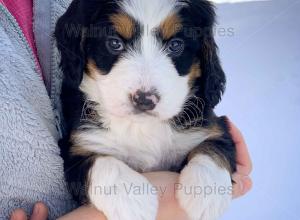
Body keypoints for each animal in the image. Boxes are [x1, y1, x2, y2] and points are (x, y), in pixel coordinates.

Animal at [55, 0, 236, 219]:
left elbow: (211, 147)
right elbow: (102, 162)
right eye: (114, 43)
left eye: (175, 45)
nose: (144, 99)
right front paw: (134, 199)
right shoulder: (75, 145)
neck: (141, 126)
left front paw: (206, 194)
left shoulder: (213, 127)